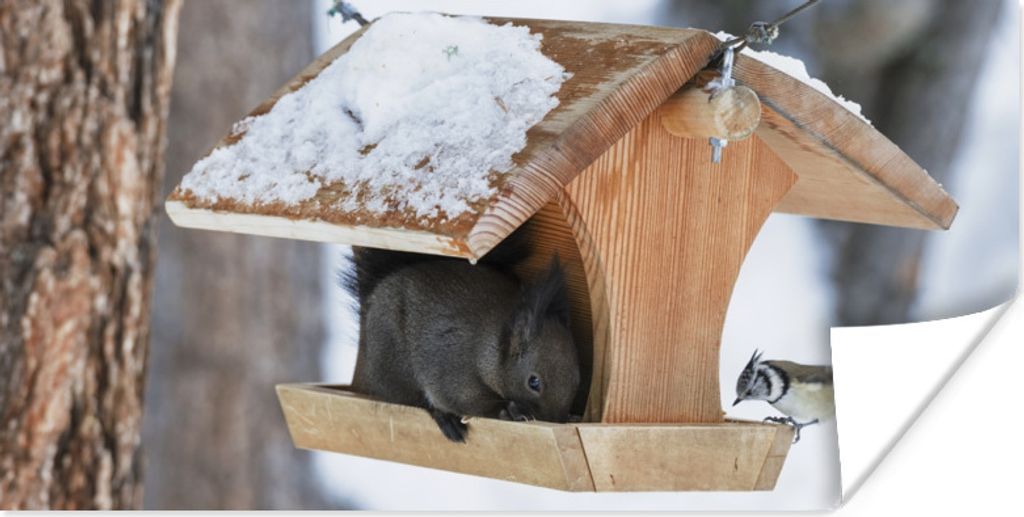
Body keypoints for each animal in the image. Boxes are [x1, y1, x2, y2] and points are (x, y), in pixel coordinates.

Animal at [344, 229, 581, 443]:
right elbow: (465, 401)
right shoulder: (454, 371)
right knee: (413, 400)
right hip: (394, 364)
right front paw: (507, 409)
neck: (490, 347)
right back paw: (446, 419)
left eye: (577, 380)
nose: (554, 419)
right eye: (533, 382)